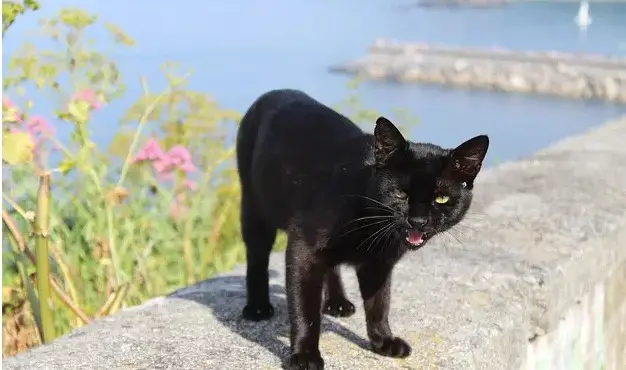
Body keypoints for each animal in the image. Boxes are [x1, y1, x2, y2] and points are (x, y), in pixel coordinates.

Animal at [234, 88, 488, 368]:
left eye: (441, 199)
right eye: (400, 194)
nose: (418, 220)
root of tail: (276, 91)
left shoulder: (378, 265)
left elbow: (379, 305)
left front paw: (383, 342)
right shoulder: (303, 247)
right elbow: (305, 310)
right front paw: (305, 355)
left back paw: (337, 302)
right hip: (254, 208)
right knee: (257, 258)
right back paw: (257, 307)